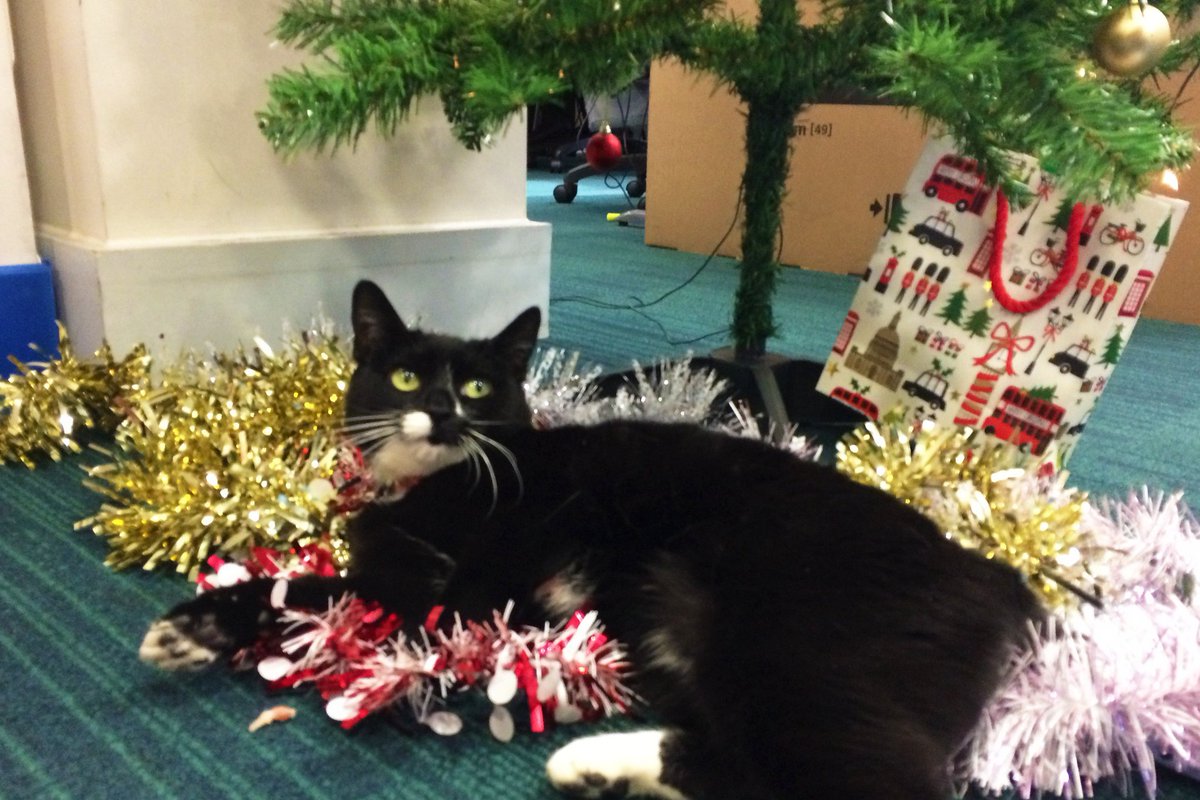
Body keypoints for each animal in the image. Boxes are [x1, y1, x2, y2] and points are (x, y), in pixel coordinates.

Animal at [140, 281, 1041, 800]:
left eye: (478, 386)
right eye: (402, 376)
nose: (443, 412)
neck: (432, 486)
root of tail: (989, 572)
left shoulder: (454, 586)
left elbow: (327, 592)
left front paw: (192, 626)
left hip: (799, 642)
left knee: (870, 782)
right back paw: (601, 767)